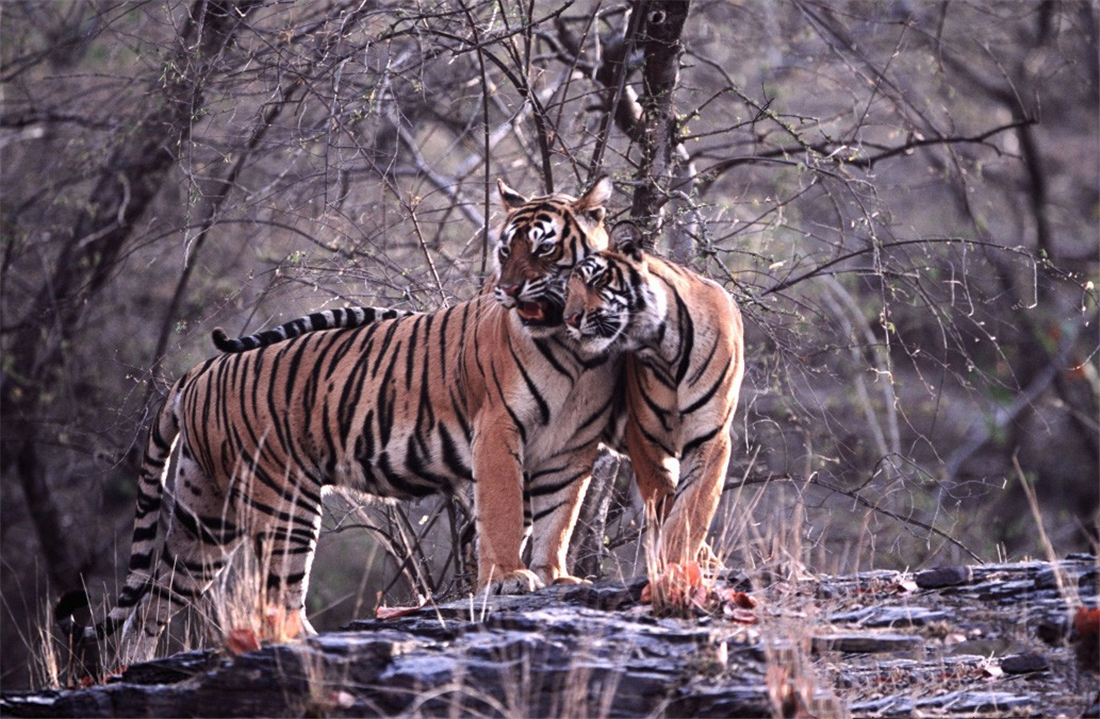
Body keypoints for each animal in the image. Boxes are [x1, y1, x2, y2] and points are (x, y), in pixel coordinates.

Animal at [64, 175, 624, 664]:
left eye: (543, 249)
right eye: (505, 251)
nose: (506, 290)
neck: (571, 345)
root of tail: (200, 369)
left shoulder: (571, 448)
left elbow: (559, 518)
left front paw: (556, 576)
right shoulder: (498, 429)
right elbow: (506, 512)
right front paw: (508, 578)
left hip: (205, 516)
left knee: (154, 604)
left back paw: (130, 669)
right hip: (283, 501)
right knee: (276, 598)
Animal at [563, 222, 743, 571]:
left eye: (594, 281)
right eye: (567, 290)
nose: (570, 319)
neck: (664, 346)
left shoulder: (710, 436)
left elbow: (693, 506)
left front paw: (677, 561)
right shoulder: (646, 437)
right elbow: (666, 501)